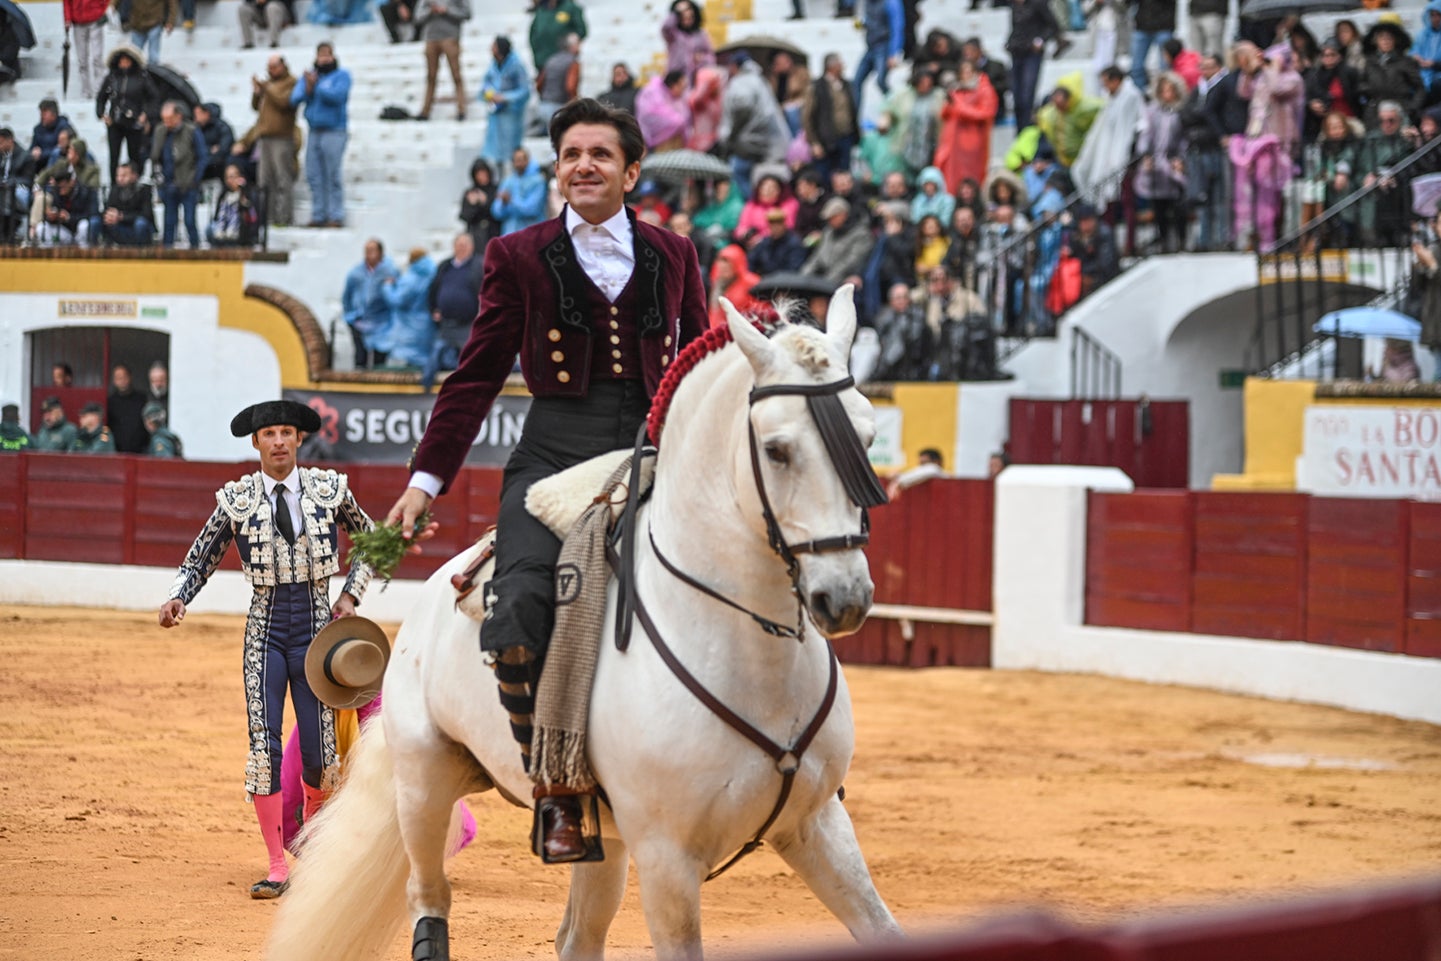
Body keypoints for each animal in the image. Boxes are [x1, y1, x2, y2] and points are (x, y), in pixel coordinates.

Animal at [268, 289, 899, 956]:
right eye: (777, 450)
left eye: (868, 436)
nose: (845, 596)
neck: (751, 649)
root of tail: (435, 592)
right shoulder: (667, 857)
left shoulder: (818, 822)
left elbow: (882, 927)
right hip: (423, 780)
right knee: (429, 896)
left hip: (601, 837)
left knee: (577, 935)